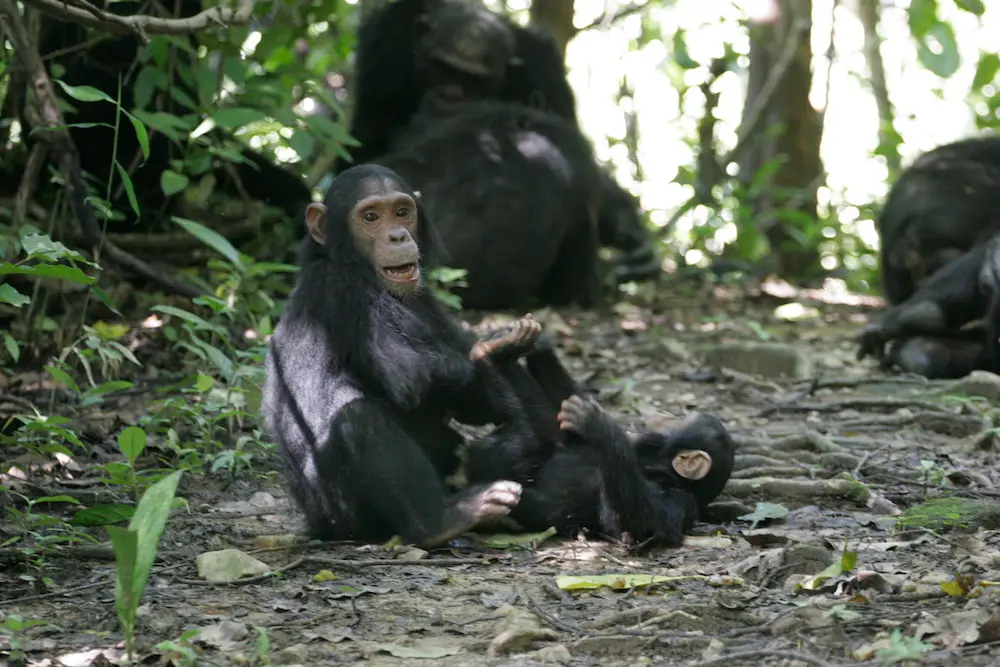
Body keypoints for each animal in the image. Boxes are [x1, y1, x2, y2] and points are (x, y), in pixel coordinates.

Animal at [262, 164, 588, 544]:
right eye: (370, 217)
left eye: (402, 212)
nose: (397, 236)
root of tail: (316, 527)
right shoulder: (345, 293)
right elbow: (413, 372)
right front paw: (495, 346)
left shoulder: (426, 300)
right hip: (345, 516)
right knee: (358, 418)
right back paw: (443, 520)